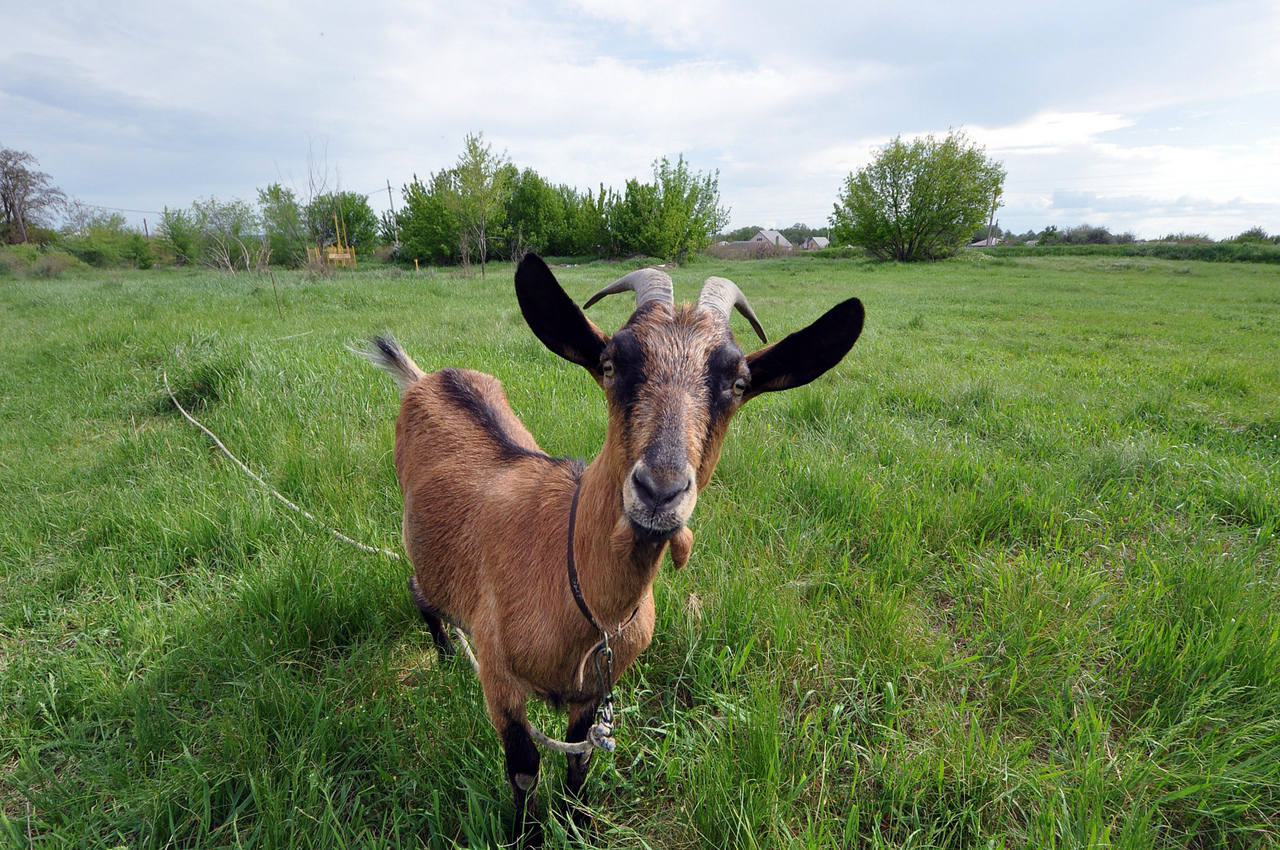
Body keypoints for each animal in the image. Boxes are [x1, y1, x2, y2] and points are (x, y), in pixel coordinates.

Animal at [355, 252, 865, 834]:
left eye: (739, 382)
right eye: (611, 363)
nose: (660, 489)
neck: (576, 593)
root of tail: (426, 378)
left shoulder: (595, 691)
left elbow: (580, 761)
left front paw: (575, 824)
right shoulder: (501, 681)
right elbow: (524, 769)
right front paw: (525, 838)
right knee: (419, 589)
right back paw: (443, 655)